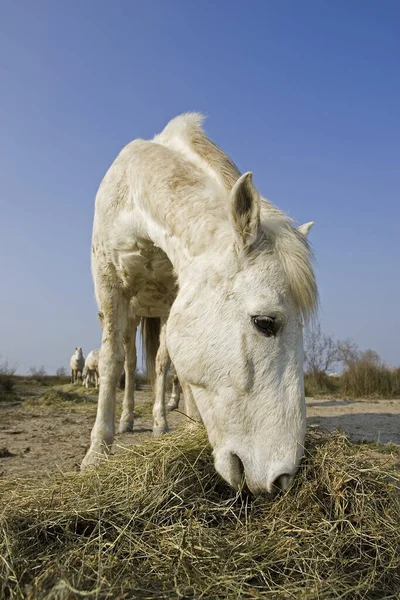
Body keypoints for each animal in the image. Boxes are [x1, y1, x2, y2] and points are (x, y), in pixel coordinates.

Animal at [83, 113, 318, 496]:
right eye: (265, 323)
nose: (282, 479)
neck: (135, 201)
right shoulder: (109, 286)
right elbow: (110, 362)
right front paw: (97, 451)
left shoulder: (174, 297)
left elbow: (168, 365)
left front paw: (185, 427)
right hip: (132, 316)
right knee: (128, 363)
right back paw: (127, 420)